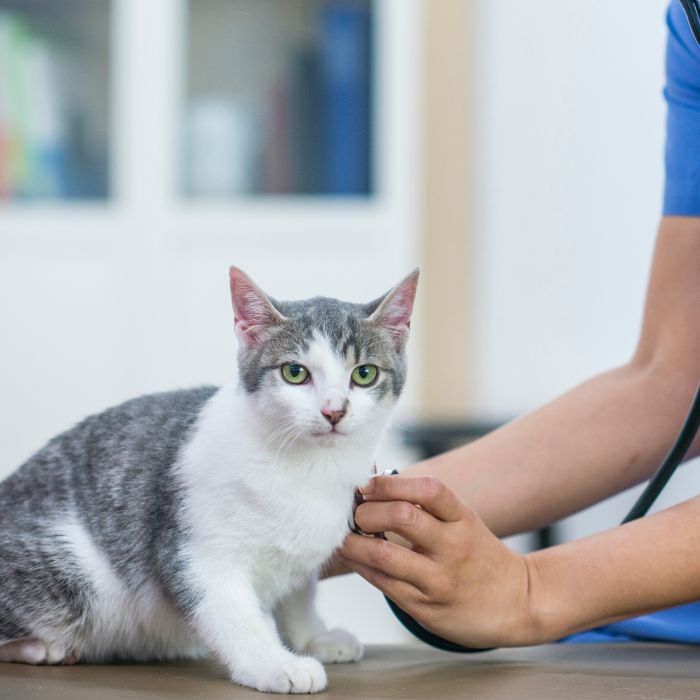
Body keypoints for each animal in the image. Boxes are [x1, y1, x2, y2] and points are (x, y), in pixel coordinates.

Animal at [0, 266, 416, 696]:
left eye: (364, 374)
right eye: (294, 372)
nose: (334, 411)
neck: (308, 467)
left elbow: (299, 593)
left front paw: (312, 636)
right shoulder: (195, 553)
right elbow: (231, 613)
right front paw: (274, 663)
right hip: (71, 575)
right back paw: (38, 648)